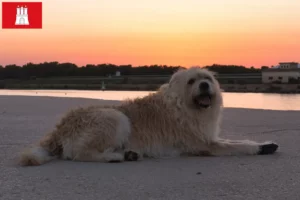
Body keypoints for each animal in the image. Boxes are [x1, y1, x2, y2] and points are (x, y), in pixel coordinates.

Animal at [19, 67, 278, 166]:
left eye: (207, 78)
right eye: (192, 81)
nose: (205, 85)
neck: (184, 105)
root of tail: (59, 129)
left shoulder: (208, 136)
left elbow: (235, 140)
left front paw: (265, 144)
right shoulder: (205, 144)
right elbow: (238, 146)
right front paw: (259, 148)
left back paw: (127, 153)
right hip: (115, 117)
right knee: (78, 154)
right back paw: (115, 157)